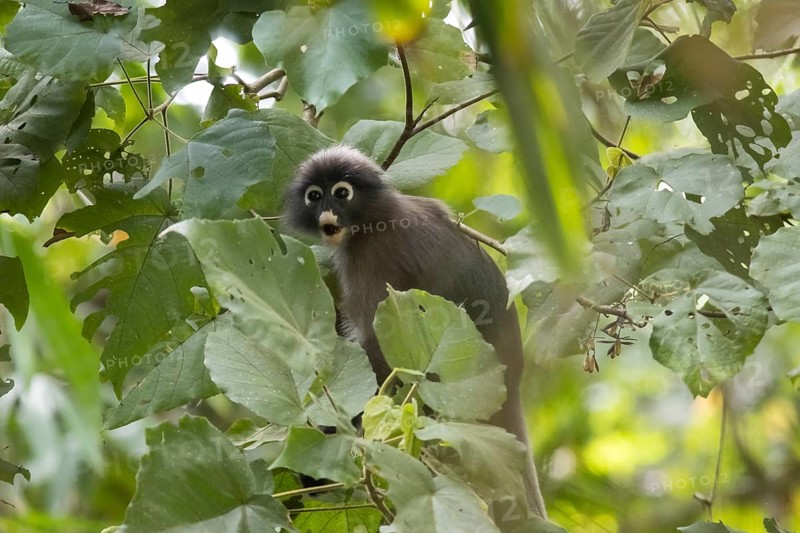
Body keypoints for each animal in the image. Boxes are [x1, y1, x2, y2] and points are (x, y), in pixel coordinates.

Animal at [281, 145, 547, 519]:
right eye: (315, 196)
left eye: (341, 193)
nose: (327, 213)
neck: (377, 214)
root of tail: (511, 383)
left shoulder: (370, 257)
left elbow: (376, 346)